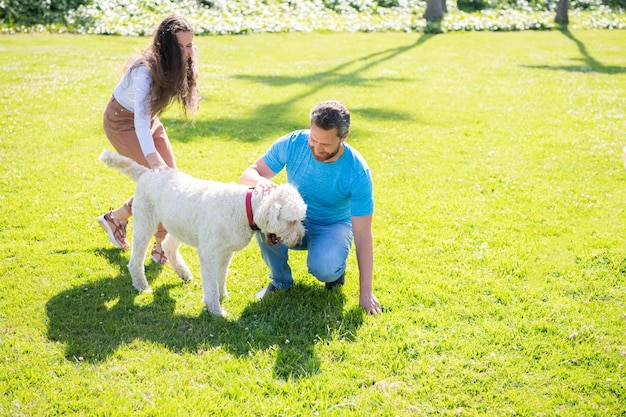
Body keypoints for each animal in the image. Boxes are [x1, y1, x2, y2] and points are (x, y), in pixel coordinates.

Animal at [96, 150, 306, 316]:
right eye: (291, 220)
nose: (299, 240)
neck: (243, 207)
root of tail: (148, 172)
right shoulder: (209, 254)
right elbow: (211, 284)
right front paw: (216, 310)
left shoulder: (225, 253)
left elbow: (220, 277)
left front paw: (222, 296)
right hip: (145, 224)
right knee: (136, 260)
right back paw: (141, 285)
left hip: (179, 224)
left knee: (168, 246)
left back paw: (183, 272)